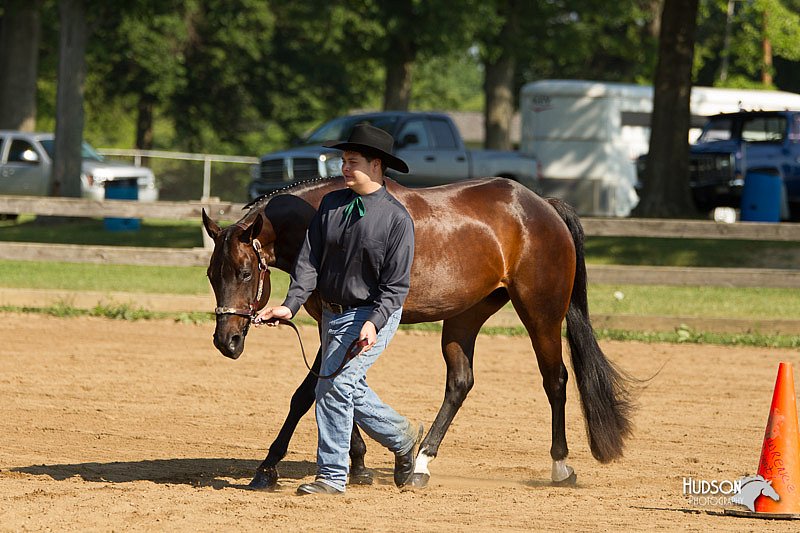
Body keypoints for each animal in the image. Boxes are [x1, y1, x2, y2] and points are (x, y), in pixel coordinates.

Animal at [203, 176, 636, 490]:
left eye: (245, 272)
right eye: (210, 274)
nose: (227, 341)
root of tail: (543, 207)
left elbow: (307, 395)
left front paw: (267, 468)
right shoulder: (336, 324)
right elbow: (339, 388)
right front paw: (360, 464)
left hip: (541, 313)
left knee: (556, 380)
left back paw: (560, 467)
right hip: (465, 317)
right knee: (460, 382)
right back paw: (421, 463)